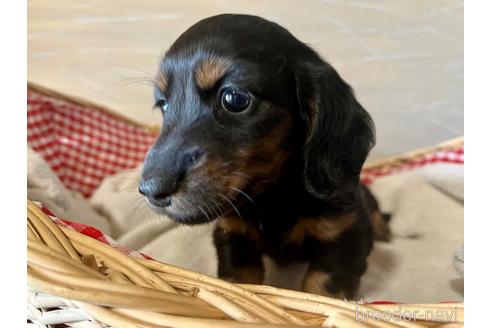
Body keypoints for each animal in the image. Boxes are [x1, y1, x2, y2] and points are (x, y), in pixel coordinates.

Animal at [140, 14, 390, 298]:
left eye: (234, 98)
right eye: (163, 104)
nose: (151, 190)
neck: (271, 196)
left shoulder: (346, 232)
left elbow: (322, 288)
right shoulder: (233, 235)